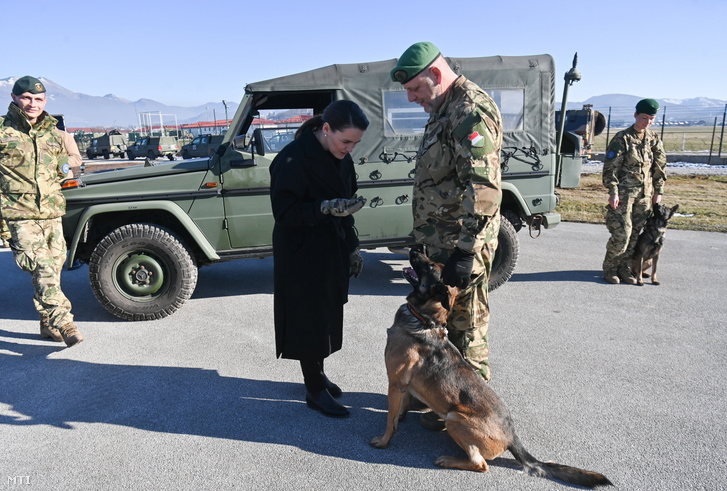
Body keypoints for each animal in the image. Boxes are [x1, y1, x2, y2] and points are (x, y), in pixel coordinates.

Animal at [370, 252, 616, 490]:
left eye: (430, 266)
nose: (415, 249)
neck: (424, 320)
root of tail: (512, 436)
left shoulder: (396, 383)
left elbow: (390, 420)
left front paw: (384, 441)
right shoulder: (404, 386)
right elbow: (400, 410)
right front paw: (402, 416)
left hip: (454, 419)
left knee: (481, 464)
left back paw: (448, 460)